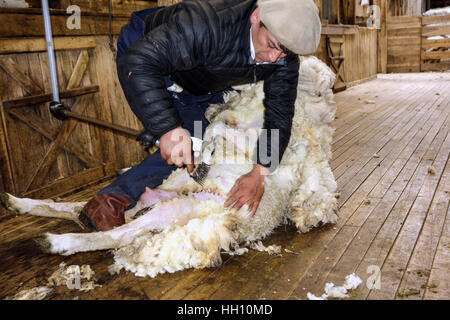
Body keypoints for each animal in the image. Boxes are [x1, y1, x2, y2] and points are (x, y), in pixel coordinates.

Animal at [0, 55, 338, 278]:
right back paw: (19, 203)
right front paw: (202, 146)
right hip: (162, 196)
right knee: (79, 209)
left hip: (178, 208)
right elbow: (217, 126)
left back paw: (55, 240)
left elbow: (221, 129)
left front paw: (205, 147)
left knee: (116, 234)